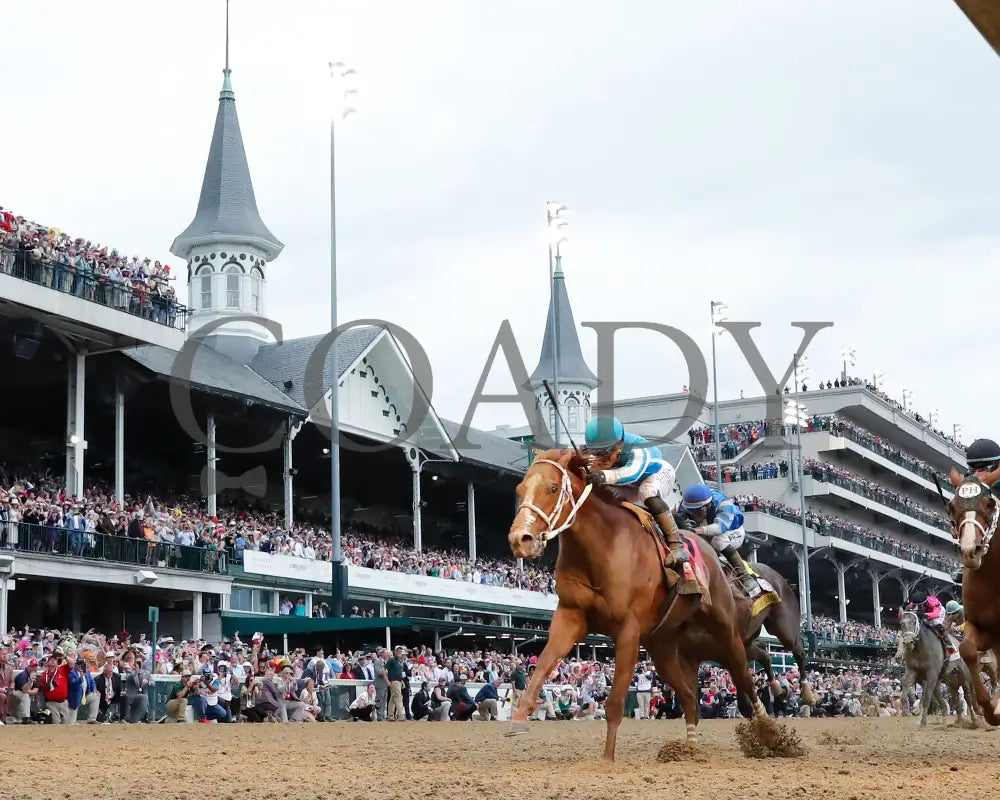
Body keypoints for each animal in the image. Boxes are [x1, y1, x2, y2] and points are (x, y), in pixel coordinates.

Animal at [508, 450, 780, 756]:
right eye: (520, 489)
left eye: (553, 488)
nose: (520, 539)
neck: (601, 548)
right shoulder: (570, 615)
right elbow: (544, 663)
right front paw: (519, 717)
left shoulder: (628, 629)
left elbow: (615, 702)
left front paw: (606, 760)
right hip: (663, 644)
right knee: (689, 696)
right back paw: (690, 748)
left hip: (725, 632)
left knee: (745, 677)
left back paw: (769, 729)